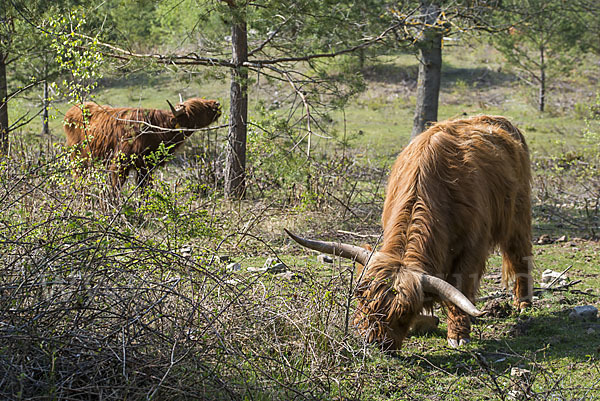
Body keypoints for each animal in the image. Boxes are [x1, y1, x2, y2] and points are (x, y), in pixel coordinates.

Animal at [63, 97, 223, 188]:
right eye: (200, 108)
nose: (217, 104)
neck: (156, 129)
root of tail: (72, 111)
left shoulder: (146, 167)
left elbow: (145, 189)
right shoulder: (119, 164)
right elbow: (115, 189)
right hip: (78, 159)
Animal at [288, 114, 536, 348]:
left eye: (403, 313)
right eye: (361, 297)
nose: (374, 343)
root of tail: (496, 120)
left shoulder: (472, 247)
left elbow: (460, 286)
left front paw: (458, 334)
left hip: (518, 216)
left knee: (519, 255)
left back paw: (523, 303)